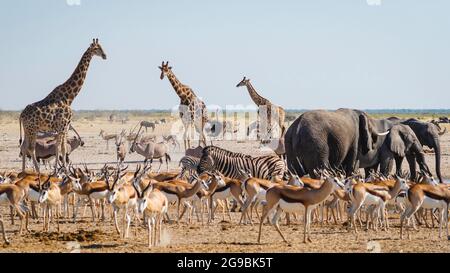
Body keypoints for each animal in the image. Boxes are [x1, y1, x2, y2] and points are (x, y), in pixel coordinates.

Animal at [20, 38, 107, 171]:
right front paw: (63, 171)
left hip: (28, 130)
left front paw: (59, 170)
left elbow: (60, 148)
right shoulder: (64, 126)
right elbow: (61, 149)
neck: (69, 97)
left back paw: (24, 171)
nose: (105, 55)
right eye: (97, 48)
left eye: (102, 47)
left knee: (25, 147)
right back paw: (37, 170)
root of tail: (21, 115)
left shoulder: (63, 127)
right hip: (32, 130)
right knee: (30, 148)